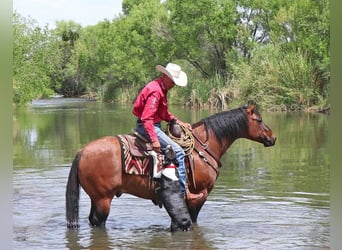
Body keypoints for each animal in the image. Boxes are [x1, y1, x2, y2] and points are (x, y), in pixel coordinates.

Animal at [65, 102, 276, 231]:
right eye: (259, 120)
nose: (272, 137)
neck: (204, 147)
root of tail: (81, 152)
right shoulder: (199, 195)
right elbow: (192, 219)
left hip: (96, 198)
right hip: (103, 200)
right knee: (98, 223)